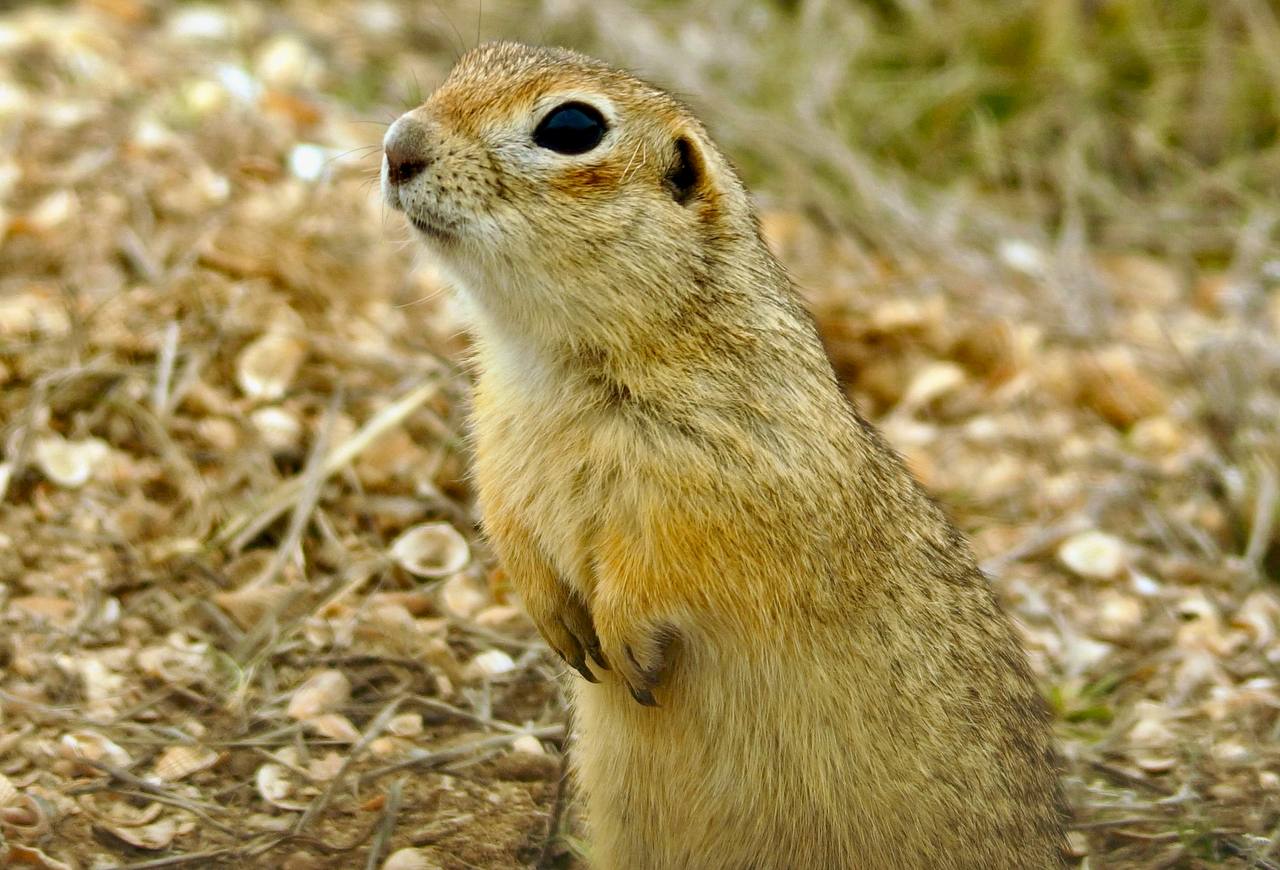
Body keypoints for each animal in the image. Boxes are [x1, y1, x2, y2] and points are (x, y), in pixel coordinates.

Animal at [378, 40, 1070, 870]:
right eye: (470, 61)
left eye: (573, 127)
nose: (397, 146)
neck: (560, 360)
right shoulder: (500, 464)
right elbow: (513, 537)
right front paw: (556, 624)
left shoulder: (725, 490)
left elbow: (667, 569)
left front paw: (624, 640)